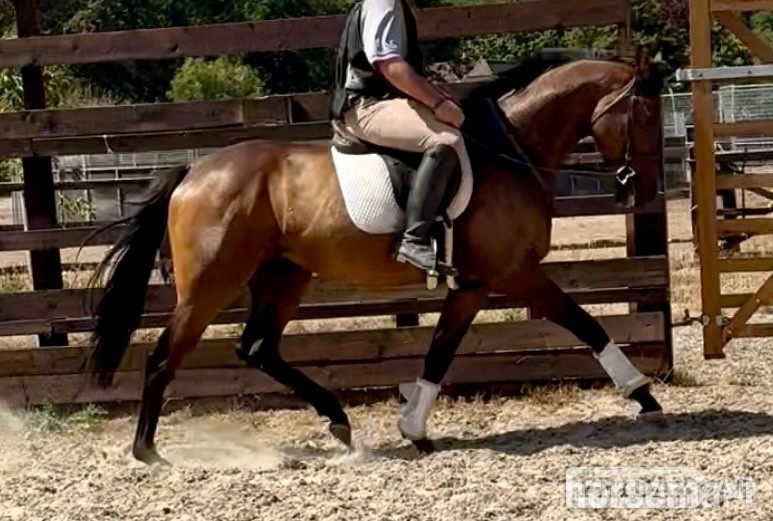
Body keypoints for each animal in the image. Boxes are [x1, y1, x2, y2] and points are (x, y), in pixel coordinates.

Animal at [86, 49, 668, 464]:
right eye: (643, 115)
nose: (643, 192)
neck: (509, 151)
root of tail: (195, 171)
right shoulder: (516, 273)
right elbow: (585, 323)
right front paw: (643, 394)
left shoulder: (473, 284)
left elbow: (439, 353)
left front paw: (413, 428)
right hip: (213, 283)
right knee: (167, 354)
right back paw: (149, 453)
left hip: (283, 277)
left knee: (257, 348)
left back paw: (340, 423)